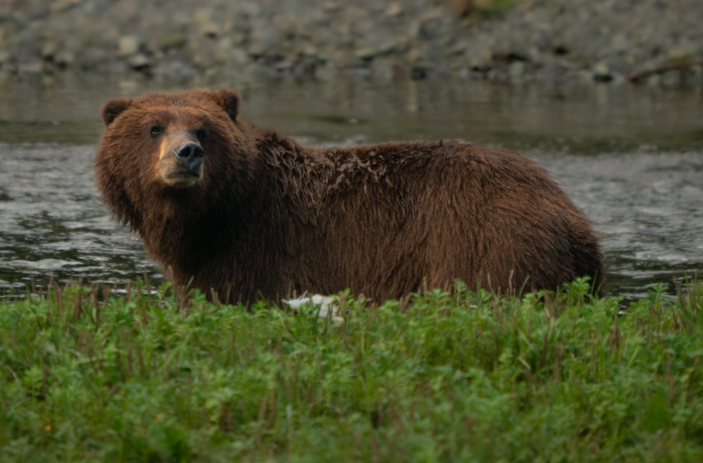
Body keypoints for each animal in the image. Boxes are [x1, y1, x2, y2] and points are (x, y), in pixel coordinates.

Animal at [95, 88, 604, 304]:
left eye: (203, 128)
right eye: (154, 126)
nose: (188, 153)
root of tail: (571, 212)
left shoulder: (257, 248)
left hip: (482, 242)